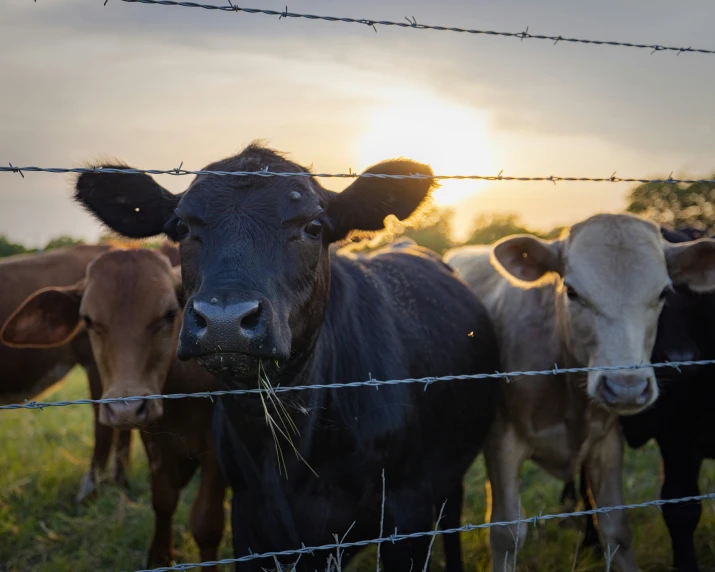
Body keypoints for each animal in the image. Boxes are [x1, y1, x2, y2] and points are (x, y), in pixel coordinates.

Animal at [2, 249, 227, 568]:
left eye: (169, 314)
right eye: (87, 319)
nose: (126, 410)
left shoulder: (217, 449)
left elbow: (206, 523)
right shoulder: (155, 441)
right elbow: (163, 499)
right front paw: (159, 557)